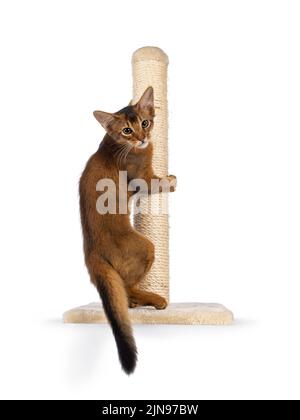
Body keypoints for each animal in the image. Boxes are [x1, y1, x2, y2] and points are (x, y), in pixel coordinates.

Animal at [79, 86, 176, 374]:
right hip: (146, 247)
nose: (142, 139)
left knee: (124, 291)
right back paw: (156, 300)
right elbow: (157, 183)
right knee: (127, 286)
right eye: (126, 130)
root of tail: (91, 254)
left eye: (144, 123)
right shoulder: (140, 179)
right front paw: (171, 181)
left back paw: (136, 303)